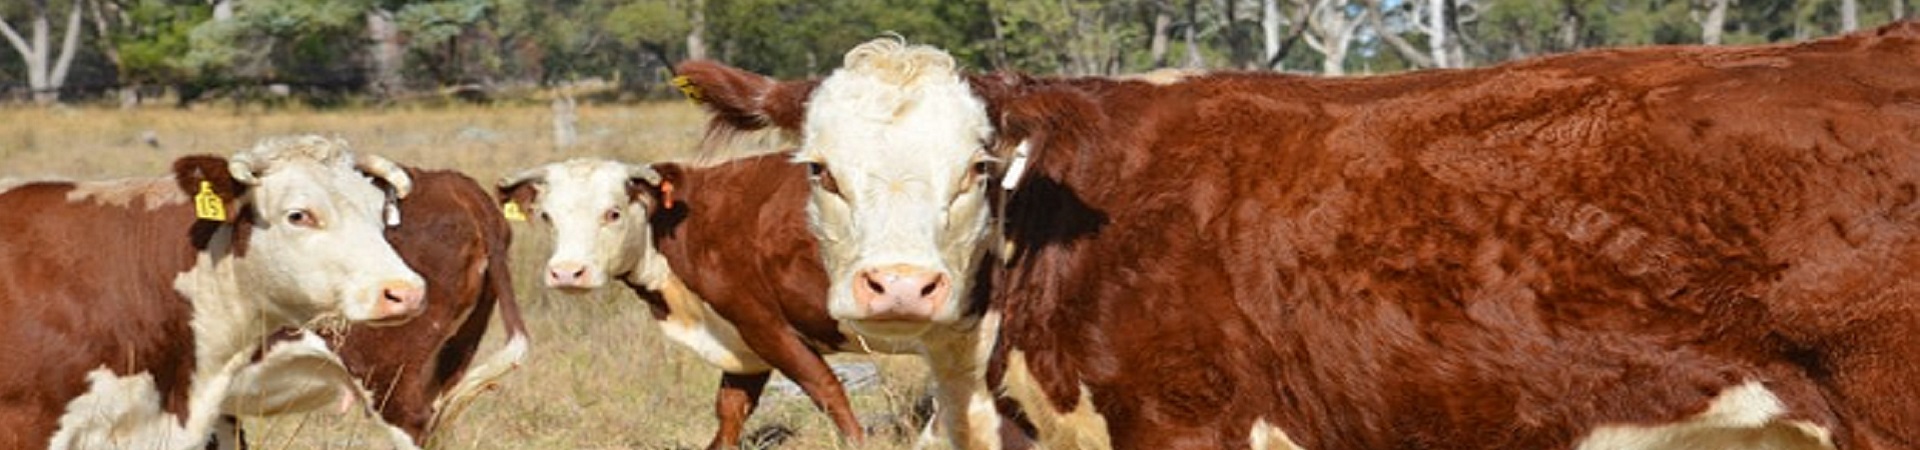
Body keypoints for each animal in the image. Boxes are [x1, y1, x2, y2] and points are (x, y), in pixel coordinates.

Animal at [497, 155, 1002, 449]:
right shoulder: (740, 340)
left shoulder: (764, 324)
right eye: (547, 216)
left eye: (613, 212)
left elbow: (826, 389)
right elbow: (730, 410)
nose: (567, 272)